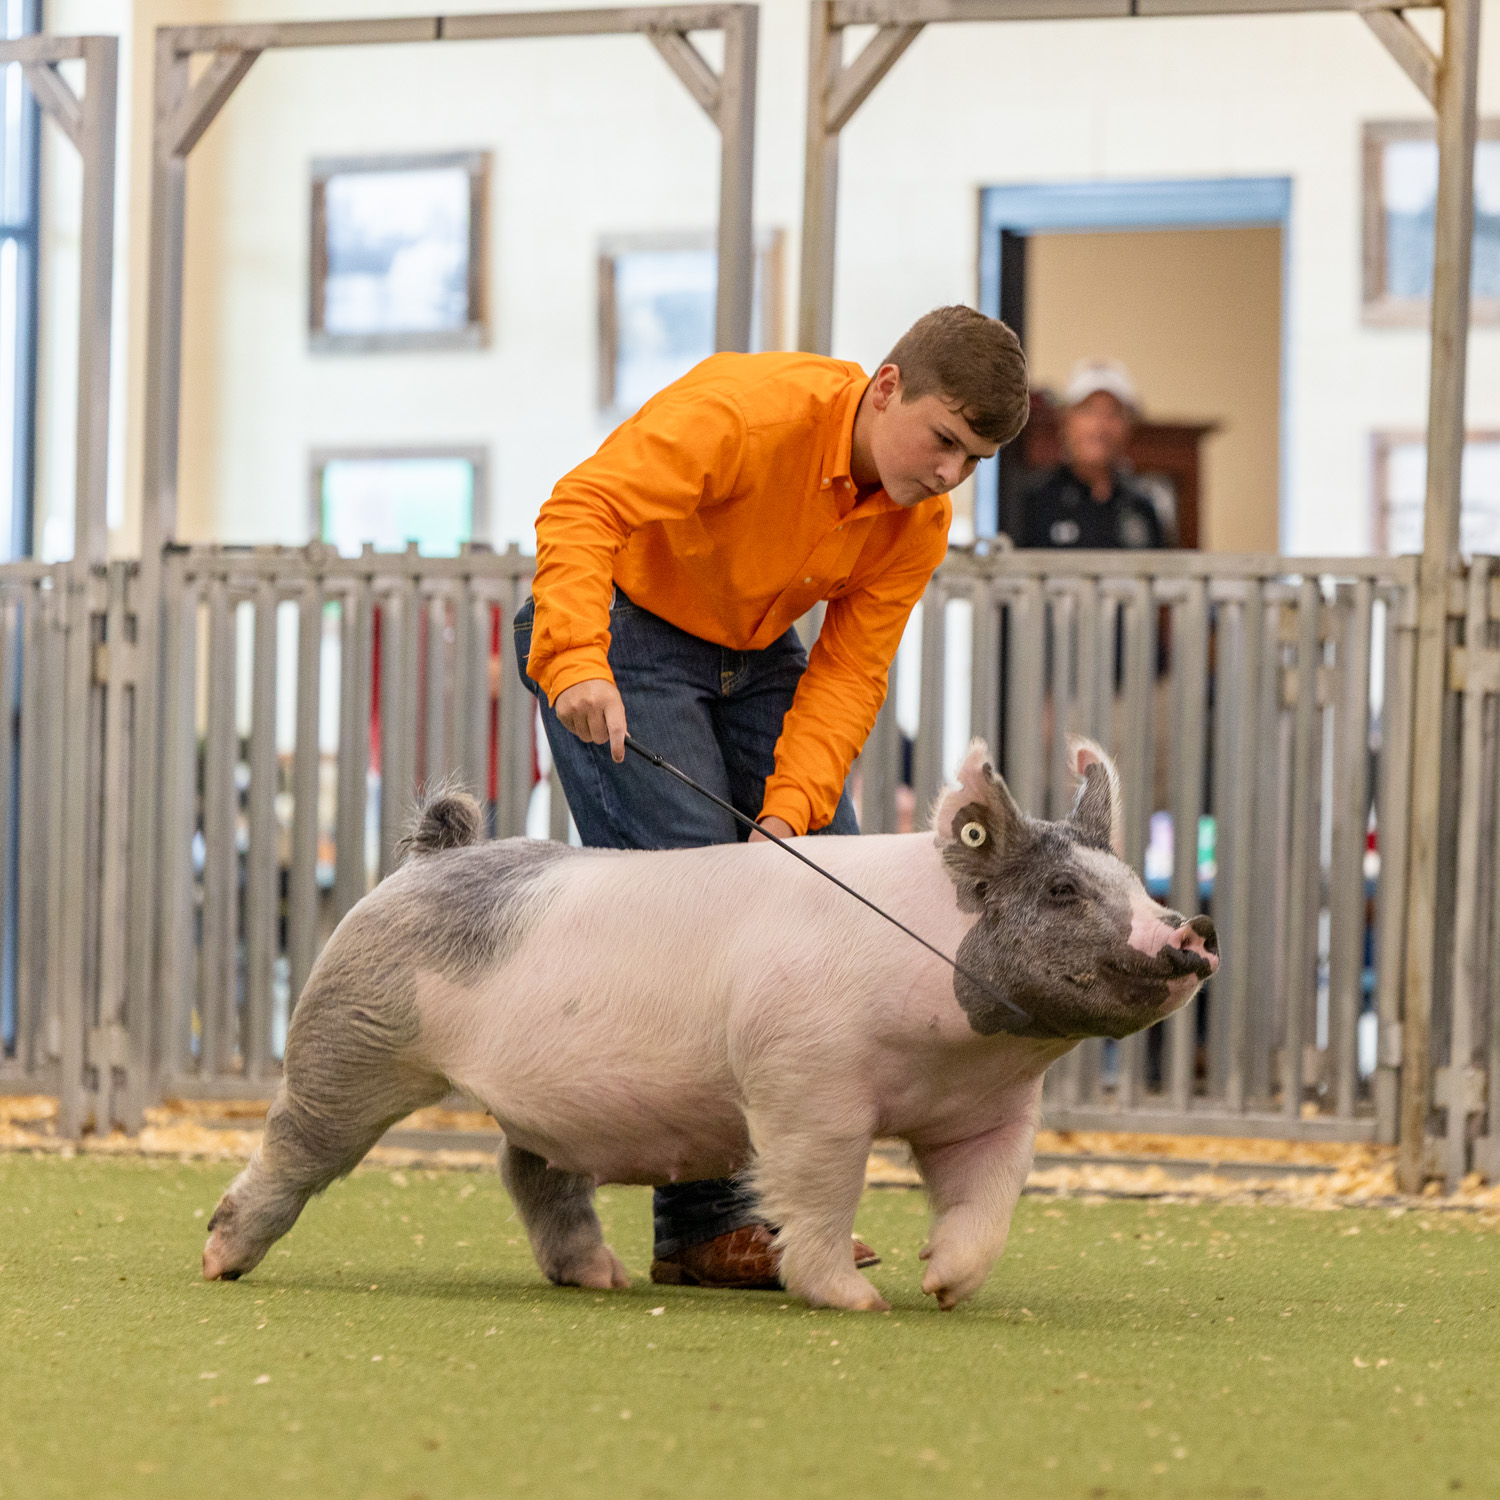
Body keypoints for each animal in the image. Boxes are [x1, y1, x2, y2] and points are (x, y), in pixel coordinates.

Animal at [202, 738, 1217, 1313]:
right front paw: (859, 1300)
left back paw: (602, 1279)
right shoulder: (803, 1081)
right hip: (350, 1034)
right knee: (295, 1146)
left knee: (526, 1170)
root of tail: (426, 859)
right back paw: (219, 1261)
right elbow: (819, 1187)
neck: (948, 1056)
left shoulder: (990, 1113)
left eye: (1133, 881)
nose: (1193, 929)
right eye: (1063, 890)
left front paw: (944, 1286)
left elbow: (988, 1202)